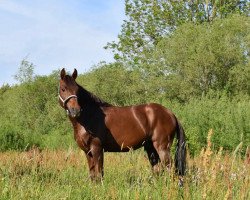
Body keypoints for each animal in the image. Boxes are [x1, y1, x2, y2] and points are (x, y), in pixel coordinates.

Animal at [58, 69, 186, 183]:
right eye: (63, 89)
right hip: (151, 148)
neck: (89, 116)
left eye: (77, 90)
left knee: (170, 169)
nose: (75, 111)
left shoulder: (97, 149)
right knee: (157, 170)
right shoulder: (88, 152)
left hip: (162, 147)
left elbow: (99, 175)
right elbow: (93, 175)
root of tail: (170, 114)